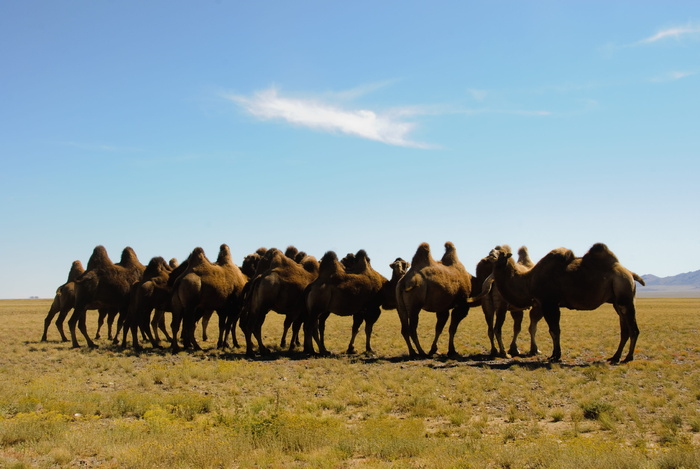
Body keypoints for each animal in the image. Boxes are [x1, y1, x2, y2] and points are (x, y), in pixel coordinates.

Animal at [486, 241, 644, 362]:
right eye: (492, 250)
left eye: (502, 253)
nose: (490, 254)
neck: (528, 281)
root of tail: (630, 274)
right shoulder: (548, 304)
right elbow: (553, 330)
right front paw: (554, 355)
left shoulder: (549, 303)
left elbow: (554, 330)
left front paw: (555, 356)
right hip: (617, 301)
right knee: (625, 330)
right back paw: (615, 357)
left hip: (625, 296)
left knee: (633, 329)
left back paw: (628, 358)